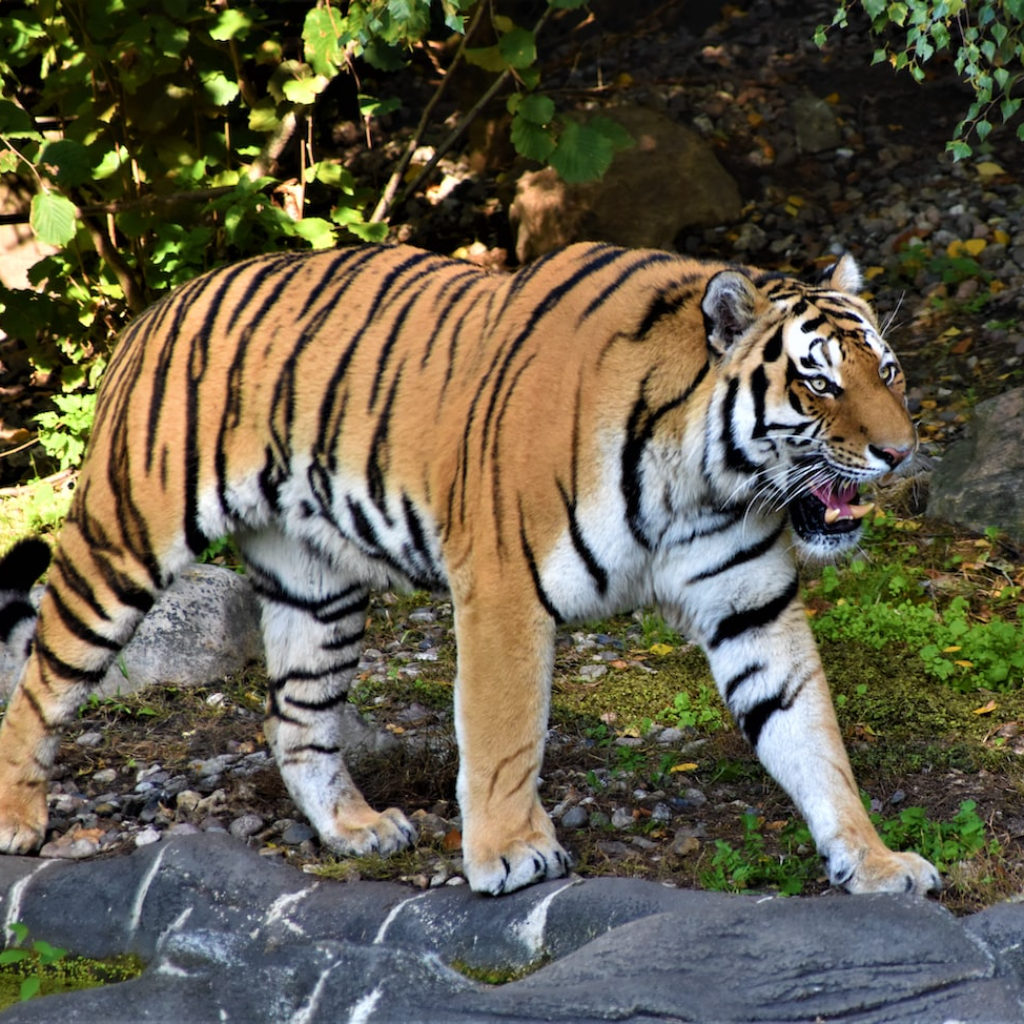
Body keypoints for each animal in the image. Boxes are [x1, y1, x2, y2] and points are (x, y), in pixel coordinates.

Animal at [0, 241, 937, 897]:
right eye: (819, 385)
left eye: (889, 371)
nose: (900, 452)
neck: (706, 480)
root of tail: (158, 306)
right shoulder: (503, 590)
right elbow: (504, 734)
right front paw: (512, 854)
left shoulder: (752, 607)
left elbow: (812, 738)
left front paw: (876, 862)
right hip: (123, 540)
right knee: (41, 679)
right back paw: (17, 818)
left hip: (317, 591)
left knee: (295, 721)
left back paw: (355, 829)